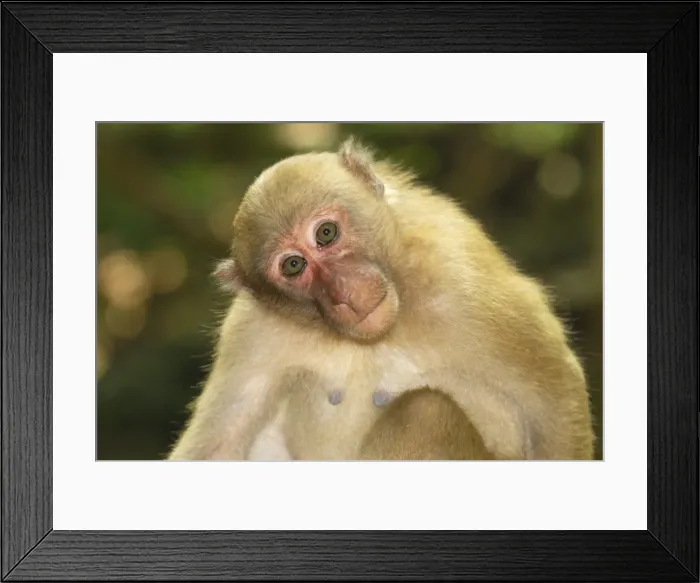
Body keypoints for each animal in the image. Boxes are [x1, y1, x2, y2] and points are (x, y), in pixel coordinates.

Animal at [167, 136, 595, 461]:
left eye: (326, 233)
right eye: (293, 266)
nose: (344, 291)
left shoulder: (459, 275)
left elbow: (554, 405)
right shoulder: (252, 328)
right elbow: (216, 447)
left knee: (425, 410)